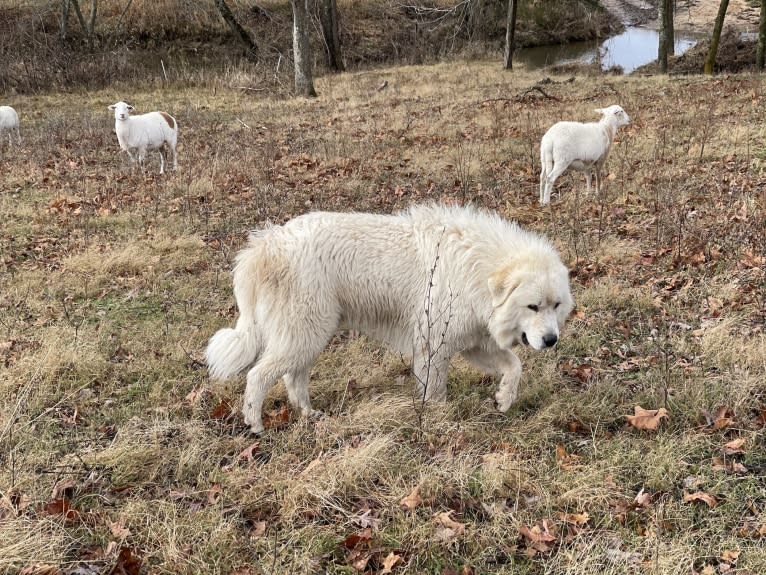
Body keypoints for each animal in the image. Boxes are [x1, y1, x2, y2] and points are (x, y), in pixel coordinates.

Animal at [207, 202, 572, 432]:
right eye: (533, 307)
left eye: (555, 306)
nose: (551, 341)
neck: (478, 268)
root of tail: (266, 244)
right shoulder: (434, 347)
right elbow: (434, 391)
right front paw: (437, 418)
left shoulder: (472, 343)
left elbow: (514, 366)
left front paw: (504, 399)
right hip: (304, 334)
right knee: (257, 376)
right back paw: (255, 425)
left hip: (308, 337)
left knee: (293, 380)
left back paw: (309, 415)